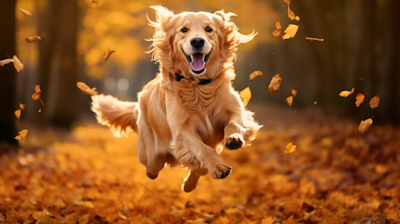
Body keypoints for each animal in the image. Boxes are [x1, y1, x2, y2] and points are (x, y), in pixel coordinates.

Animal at [92, 5, 264, 192]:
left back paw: (189, 184)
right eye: (184, 30)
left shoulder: (234, 110)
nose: (197, 41)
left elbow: (234, 124)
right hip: (150, 155)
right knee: (152, 168)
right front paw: (218, 166)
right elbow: (202, 149)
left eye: (208, 29)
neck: (197, 86)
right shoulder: (181, 130)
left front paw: (233, 138)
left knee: (198, 168)